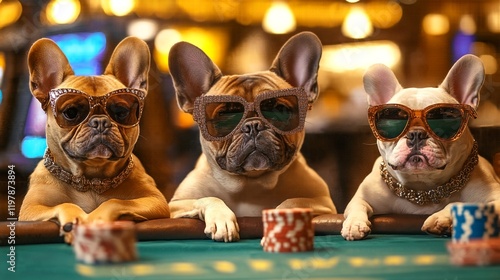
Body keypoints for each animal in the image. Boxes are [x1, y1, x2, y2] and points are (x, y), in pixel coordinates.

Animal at [19, 36, 170, 241]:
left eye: (121, 112)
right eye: (71, 112)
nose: (100, 122)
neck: (91, 179)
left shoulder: (155, 200)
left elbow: (115, 201)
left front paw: (96, 219)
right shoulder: (30, 209)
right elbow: (65, 204)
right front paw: (74, 220)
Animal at [168, 31, 336, 241]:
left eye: (278, 109)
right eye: (225, 115)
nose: (253, 126)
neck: (251, 182)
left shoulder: (324, 203)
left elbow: (293, 201)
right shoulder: (175, 205)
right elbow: (209, 198)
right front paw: (221, 220)